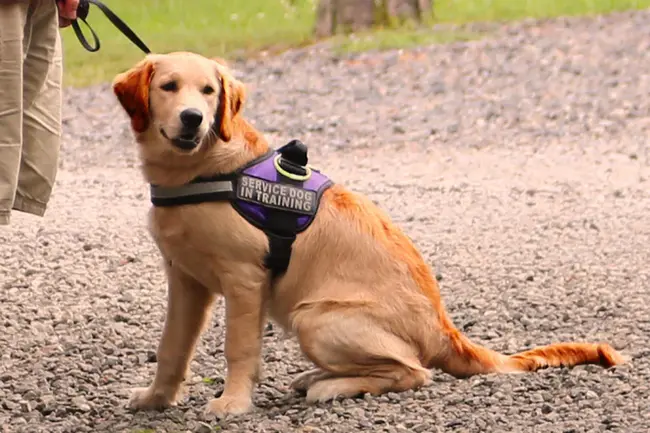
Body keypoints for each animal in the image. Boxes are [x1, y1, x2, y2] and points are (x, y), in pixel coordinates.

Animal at [110, 52, 624, 416]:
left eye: (209, 91)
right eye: (169, 87)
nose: (193, 118)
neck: (203, 171)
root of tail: (444, 330)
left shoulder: (244, 280)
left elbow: (238, 349)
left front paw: (233, 403)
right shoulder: (185, 281)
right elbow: (171, 348)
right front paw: (157, 399)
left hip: (314, 316)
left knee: (413, 372)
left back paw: (331, 386)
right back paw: (317, 378)